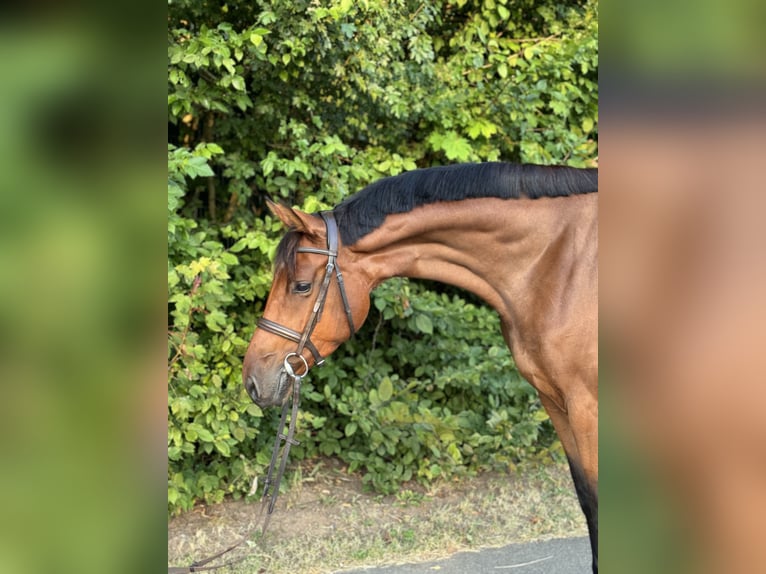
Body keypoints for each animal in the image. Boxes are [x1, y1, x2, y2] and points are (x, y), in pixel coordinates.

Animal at [244, 163, 600, 574]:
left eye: (301, 286)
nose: (252, 380)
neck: (558, 265)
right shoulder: (555, 401)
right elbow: (586, 501)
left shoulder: (586, 407)